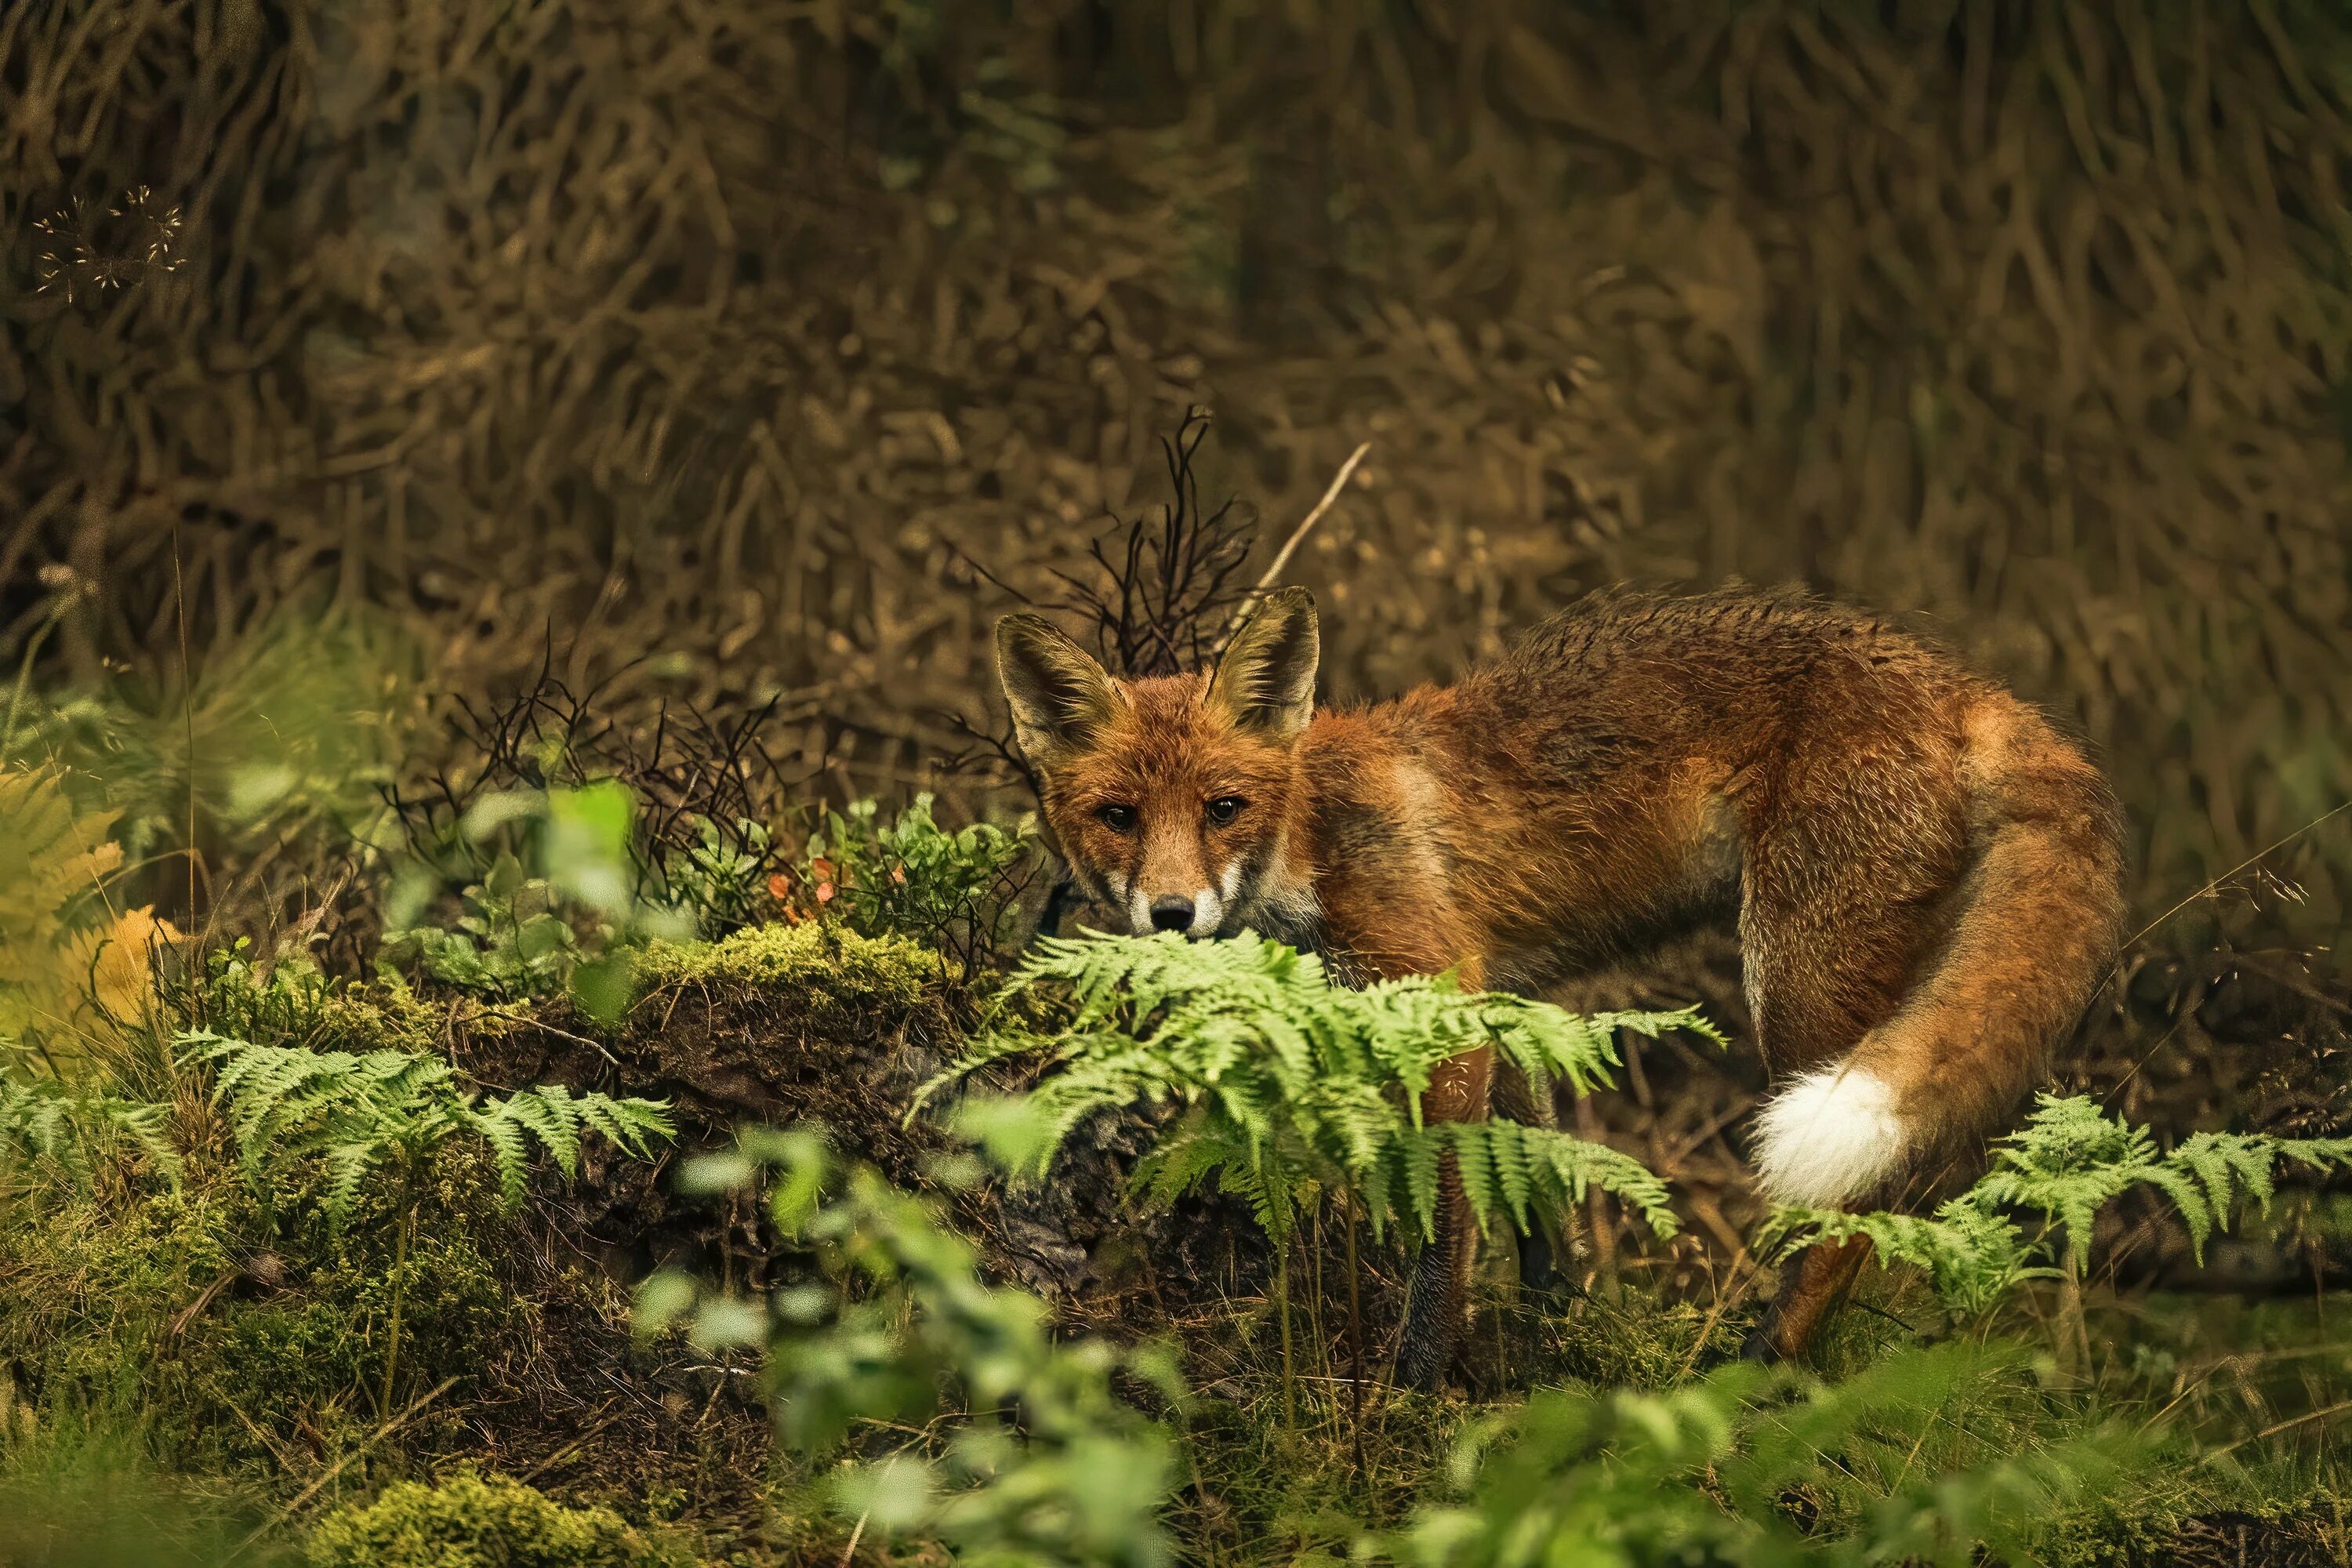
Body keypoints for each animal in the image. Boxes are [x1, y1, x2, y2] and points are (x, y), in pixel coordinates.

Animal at [993, 585, 2136, 1382]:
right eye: (1118, 818)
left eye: (1222, 808)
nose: (1172, 914)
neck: (1311, 835)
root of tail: (1970, 687)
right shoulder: (1505, 1008)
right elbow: (1537, 1194)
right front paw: (1557, 1331)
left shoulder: (1445, 1008)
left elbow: (1442, 1235)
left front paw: (1417, 1389)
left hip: (1796, 982)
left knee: (1866, 1208)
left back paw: (1761, 1371)